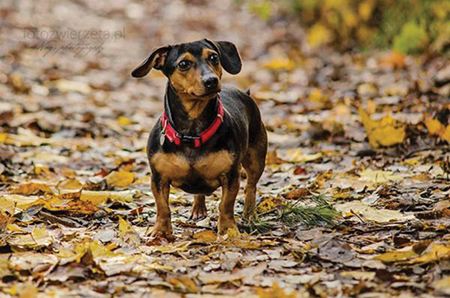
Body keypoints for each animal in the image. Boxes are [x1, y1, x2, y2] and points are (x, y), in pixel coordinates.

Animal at [133, 39, 268, 240]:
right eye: (183, 64)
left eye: (213, 57)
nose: (211, 80)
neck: (192, 133)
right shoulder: (158, 178)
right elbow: (163, 207)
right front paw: (160, 232)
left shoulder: (231, 176)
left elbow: (225, 205)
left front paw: (228, 230)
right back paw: (198, 208)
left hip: (256, 158)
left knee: (250, 186)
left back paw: (249, 213)